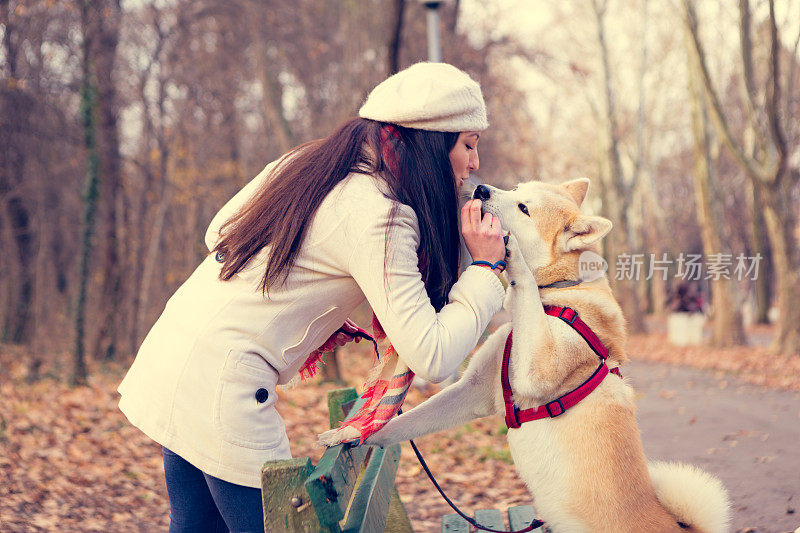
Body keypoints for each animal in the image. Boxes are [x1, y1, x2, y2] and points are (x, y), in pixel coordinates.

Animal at [368, 179, 732, 532]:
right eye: (516, 188)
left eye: (524, 208)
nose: (481, 189)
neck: (559, 293)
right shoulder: (473, 390)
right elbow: (406, 423)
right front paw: (359, 439)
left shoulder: (539, 368)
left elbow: (526, 282)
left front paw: (513, 252)